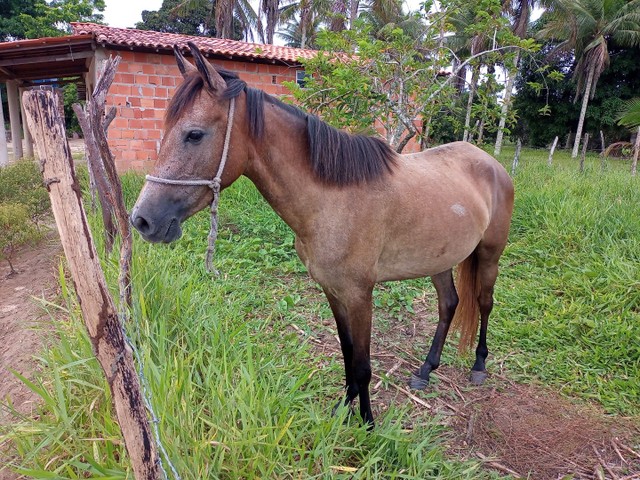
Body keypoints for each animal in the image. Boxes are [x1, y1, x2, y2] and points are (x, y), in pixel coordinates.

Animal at [130, 43, 516, 426]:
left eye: (194, 134)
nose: (142, 220)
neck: (333, 200)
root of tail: (490, 164)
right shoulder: (333, 291)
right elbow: (348, 358)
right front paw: (343, 410)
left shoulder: (360, 295)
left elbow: (363, 365)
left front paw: (367, 423)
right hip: (440, 259)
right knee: (448, 304)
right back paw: (425, 370)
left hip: (489, 255)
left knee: (484, 303)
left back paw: (479, 365)